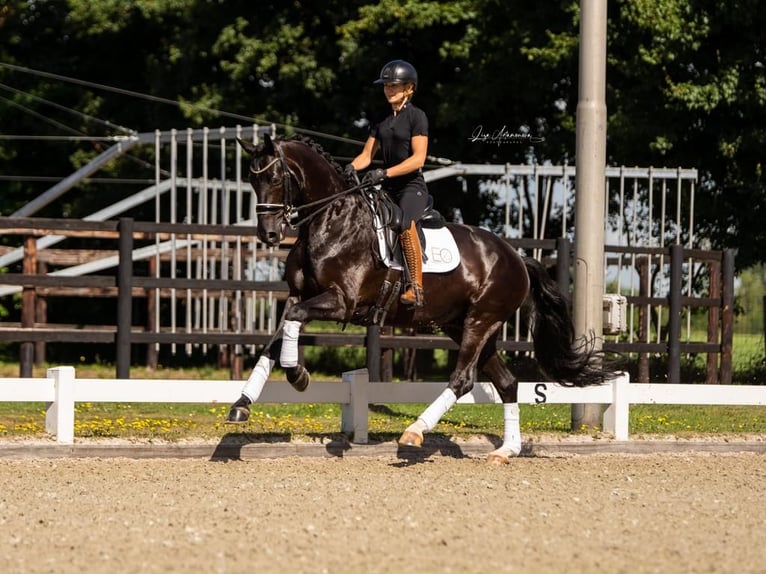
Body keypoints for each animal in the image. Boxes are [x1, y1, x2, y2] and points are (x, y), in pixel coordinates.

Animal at [228, 134, 616, 464]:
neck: (330, 220)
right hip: (466, 326)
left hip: (480, 321)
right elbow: (274, 341)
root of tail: (517, 258)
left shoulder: (342, 302)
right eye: (251, 180)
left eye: (275, 177)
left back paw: (415, 432)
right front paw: (242, 403)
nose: (269, 234)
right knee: (506, 383)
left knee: (462, 380)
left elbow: (294, 318)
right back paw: (505, 451)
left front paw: (297, 375)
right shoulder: (300, 295)